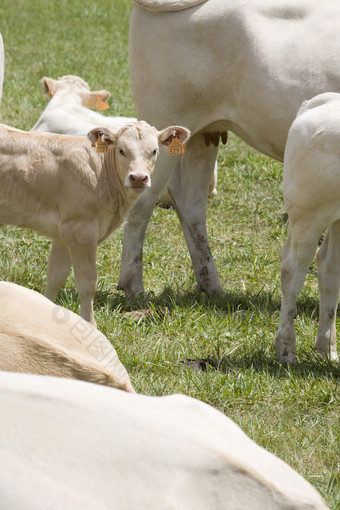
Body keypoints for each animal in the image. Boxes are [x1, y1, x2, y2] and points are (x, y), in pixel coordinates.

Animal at [0, 121, 190, 324]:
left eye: (154, 151)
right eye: (121, 150)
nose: (138, 178)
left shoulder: (62, 235)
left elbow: (55, 278)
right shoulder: (81, 229)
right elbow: (87, 282)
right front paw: (90, 324)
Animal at [119, 0, 340, 300]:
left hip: (199, 134)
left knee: (190, 203)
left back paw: (212, 286)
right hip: (160, 125)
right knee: (142, 204)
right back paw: (134, 286)